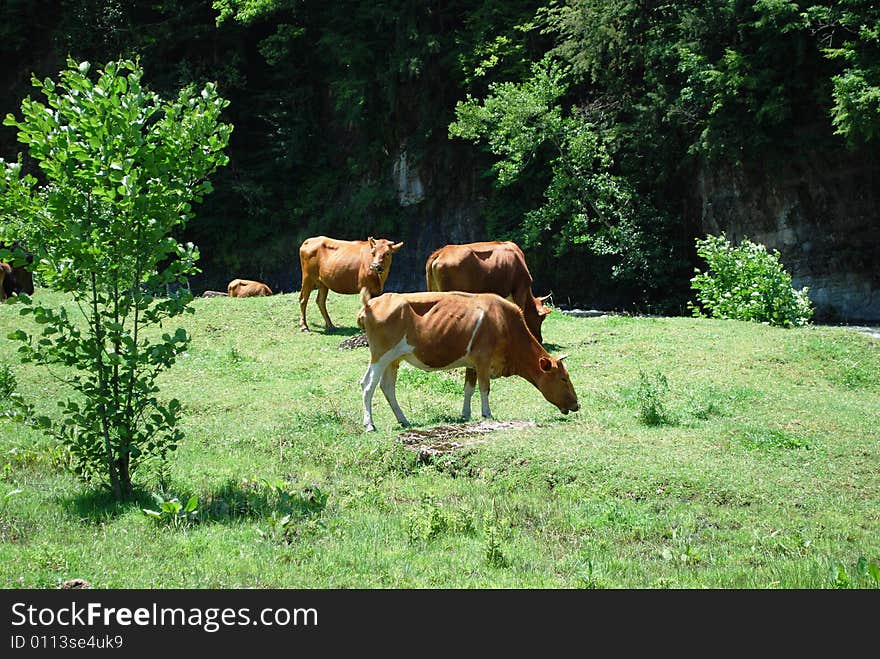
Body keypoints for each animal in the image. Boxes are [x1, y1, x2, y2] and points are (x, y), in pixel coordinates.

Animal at [358, 292, 576, 430]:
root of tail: (370, 304)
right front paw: (487, 414)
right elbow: (484, 388)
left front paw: (465, 414)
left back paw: (403, 420)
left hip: (393, 359)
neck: (505, 323)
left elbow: (468, 389)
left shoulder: (472, 363)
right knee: (368, 384)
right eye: (564, 378)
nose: (577, 404)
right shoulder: (483, 359)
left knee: (387, 387)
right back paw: (369, 424)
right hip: (380, 354)